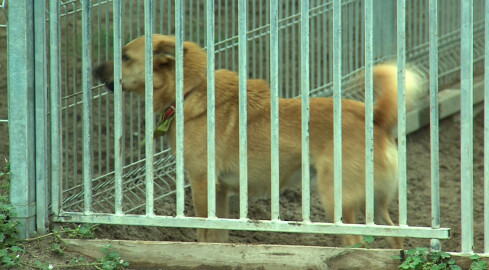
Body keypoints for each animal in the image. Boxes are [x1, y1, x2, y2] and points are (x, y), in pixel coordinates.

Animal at [93, 34, 422, 249]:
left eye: (125, 57)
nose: (94, 69)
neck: (190, 90)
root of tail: (376, 118)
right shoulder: (220, 191)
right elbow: (219, 235)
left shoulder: (202, 183)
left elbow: (203, 231)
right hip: (375, 204)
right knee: (394, 236)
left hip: (335, 199)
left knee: (354, 241)